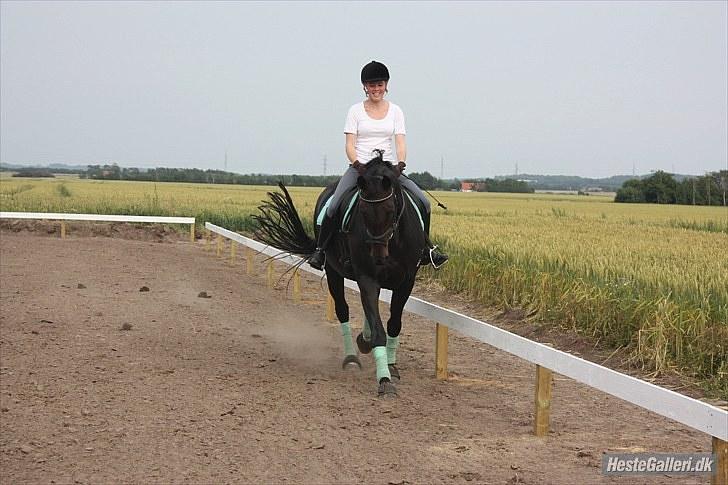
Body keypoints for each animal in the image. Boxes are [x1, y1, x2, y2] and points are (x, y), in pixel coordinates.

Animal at [255, 152, 426, 398]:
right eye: (362, 212)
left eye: (391, 210)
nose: (378, 256)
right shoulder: (367, 278)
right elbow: (378, 330)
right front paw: (384, 380)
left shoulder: (406, 281)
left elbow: (393, 324)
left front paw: (391, 367)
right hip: (334, 273)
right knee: (343, 311)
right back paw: (352, 357)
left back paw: (363, 342)